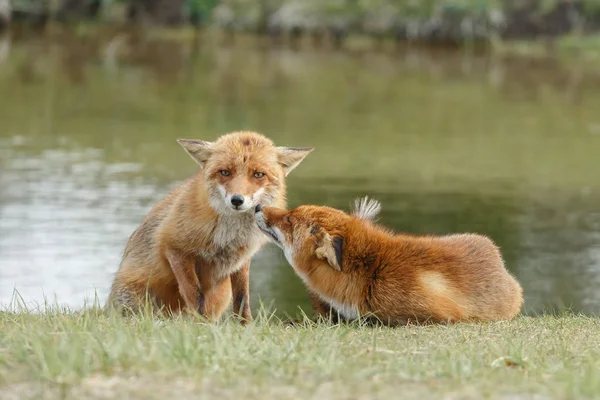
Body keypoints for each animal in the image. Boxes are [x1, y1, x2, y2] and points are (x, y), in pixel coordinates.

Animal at [108, 130, 314, 322]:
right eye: (225, 172)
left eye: (258, 174)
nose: (237, 200)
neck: (230, 236)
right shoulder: (175, 249)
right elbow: (195, 295)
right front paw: (200, 327)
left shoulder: (241, 259)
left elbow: (242, 300)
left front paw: (245, 328)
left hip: (222, 293)